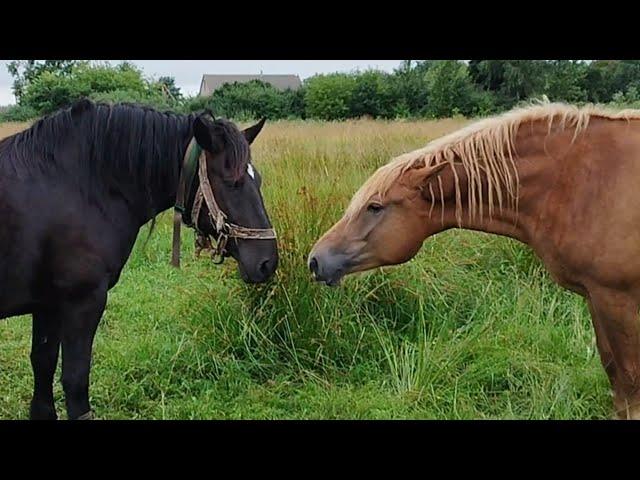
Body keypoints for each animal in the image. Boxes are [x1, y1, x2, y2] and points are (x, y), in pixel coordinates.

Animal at [0, 98, 278, 420]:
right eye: (233, 182)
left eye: (258, 179)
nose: (268, 261)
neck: (79, 186)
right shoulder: (82, 301)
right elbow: (75, 380)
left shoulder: (47, 305)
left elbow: (42, 369)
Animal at [310, 101, 640, 420]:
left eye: (375, 207)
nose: (315, 260)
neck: (577, 181)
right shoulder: (595, 297)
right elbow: (614, 374)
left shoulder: (615, 298)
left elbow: (628, 381)